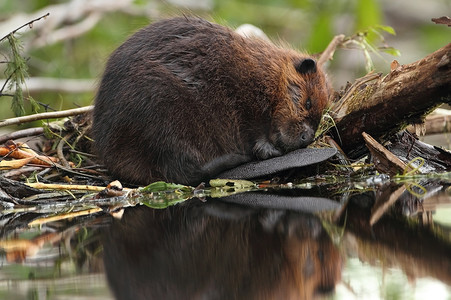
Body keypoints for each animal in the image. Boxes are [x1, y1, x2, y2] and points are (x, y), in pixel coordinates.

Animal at [93, 17, 330, 185]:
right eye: (308, 103)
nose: (307, 138)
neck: (267, 71)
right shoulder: (244, 89)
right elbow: (251, 126)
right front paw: (269, 150)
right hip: (162, 111)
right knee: (183, 171)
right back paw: (238, 158)